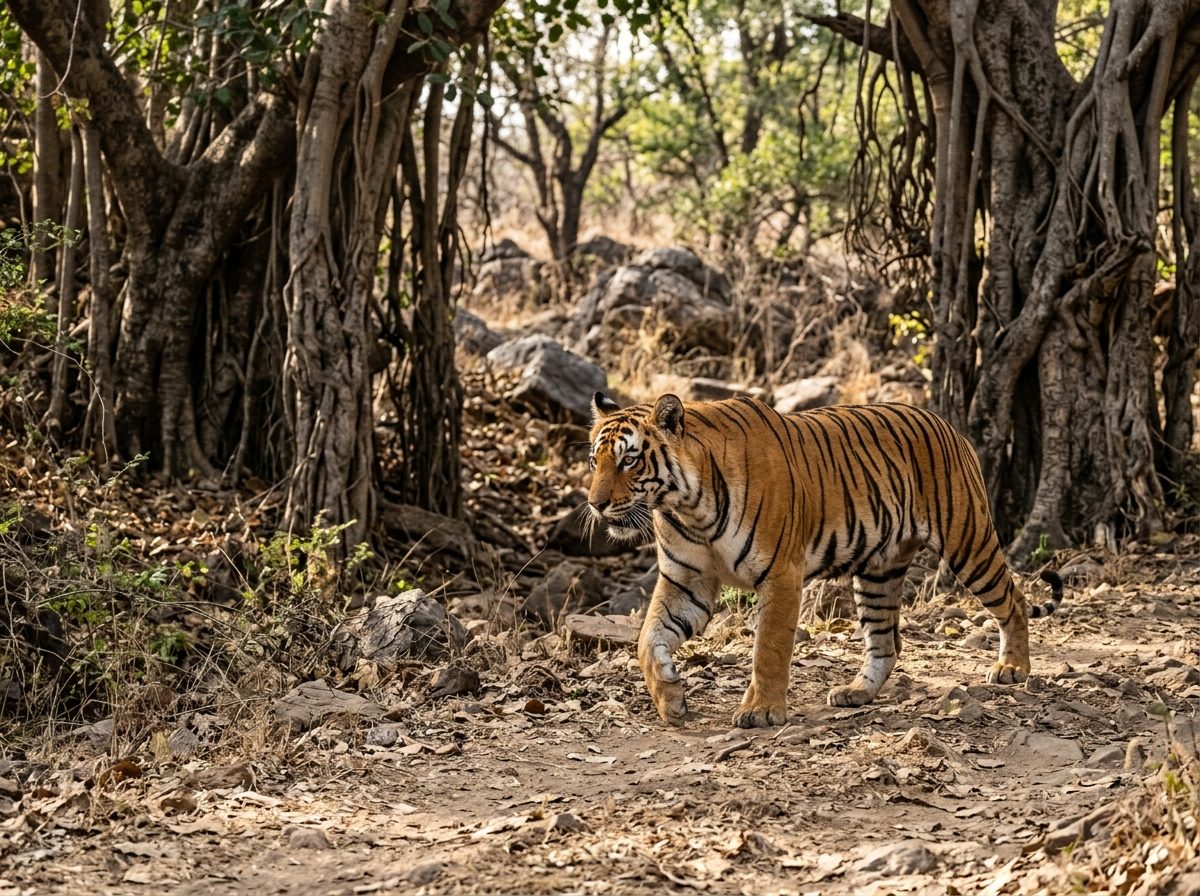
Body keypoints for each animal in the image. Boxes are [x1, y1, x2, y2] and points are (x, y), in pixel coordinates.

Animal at [586, 392, 1063, 728]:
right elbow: (648, 639)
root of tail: (950, 427)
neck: (687, 505)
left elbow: (769, 648)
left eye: (629, 460)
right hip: (878, 572)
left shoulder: (781, 574)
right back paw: (856, 693)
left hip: (968, 542)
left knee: (1014, 600)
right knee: (886, 642)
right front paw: (670, 698)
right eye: (594, 461)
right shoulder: (687, 579)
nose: (595, 503)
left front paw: (761, 711)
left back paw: (1012, 668)